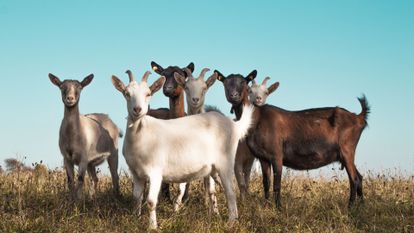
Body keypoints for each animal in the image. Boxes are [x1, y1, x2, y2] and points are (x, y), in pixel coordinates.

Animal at [111, 69, 252, 229]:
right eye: (127, 93)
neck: (141, 133)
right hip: (212, 168)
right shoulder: (136, 174)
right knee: (215, 189)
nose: (137, 109)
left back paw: (232, 222)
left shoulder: (155, 172)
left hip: (225, 162)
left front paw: (153, 227)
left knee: (230, 192)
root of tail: (233, 125)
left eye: (148, 93)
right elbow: (136, 199)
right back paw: (213, 217)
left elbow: (151, 201)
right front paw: (136, 221)